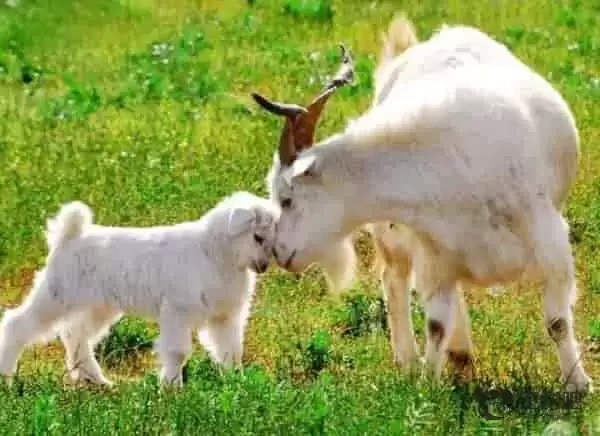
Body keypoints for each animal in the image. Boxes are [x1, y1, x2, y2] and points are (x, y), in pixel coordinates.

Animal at [252, 17, 592, 392]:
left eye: (287, 199)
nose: (279, 253)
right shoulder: (435, 251)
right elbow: (436, 325)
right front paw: (428, 382)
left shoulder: (551, 244)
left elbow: (557, 321)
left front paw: (578, 383)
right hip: (396, 238)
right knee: (394, 280)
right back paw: (420, 359)